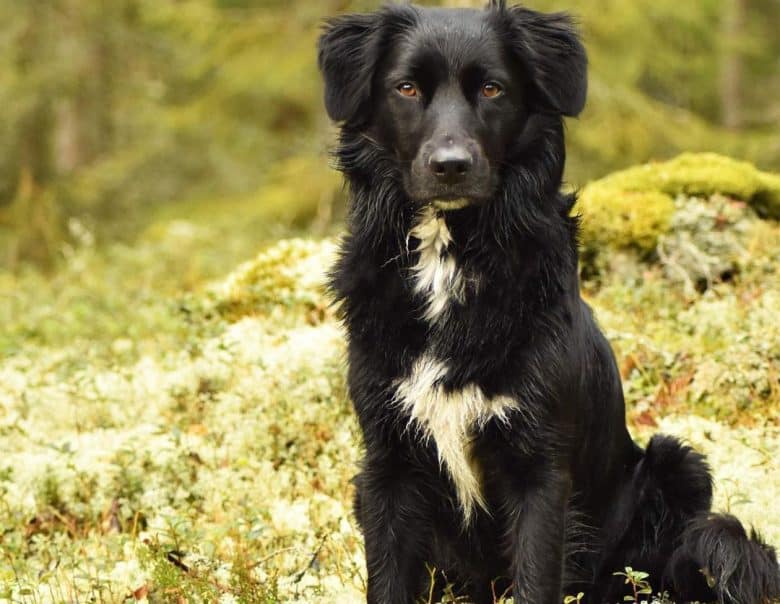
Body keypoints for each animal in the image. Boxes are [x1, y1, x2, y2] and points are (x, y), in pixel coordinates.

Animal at [316, 2, 780, 600]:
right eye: (407, 88)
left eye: (492, 88)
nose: (451, 166)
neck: (450, 257)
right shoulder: (386, 459)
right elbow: (389, 578)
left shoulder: (540, 467)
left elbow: (537, 576)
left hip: (677, 465)